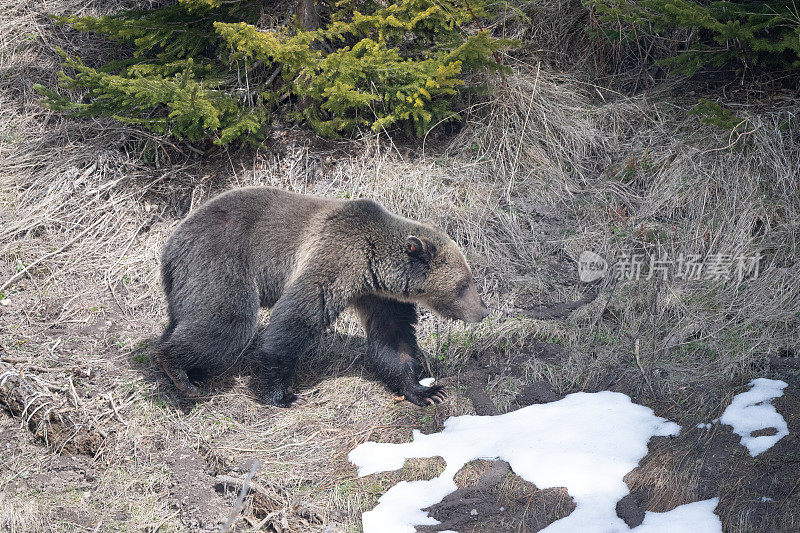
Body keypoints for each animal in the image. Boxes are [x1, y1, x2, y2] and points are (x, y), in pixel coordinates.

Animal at [153, 185, 484, 406]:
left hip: (188, 282)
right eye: (464, 283)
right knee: (228, 321)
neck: (372, 264)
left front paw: (426, 391)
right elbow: (296, 318)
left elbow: (393, 337)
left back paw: (189, 370)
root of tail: (170, 245)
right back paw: (177, 370)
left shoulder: (377, 295)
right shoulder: (334, 256)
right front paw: (282, 395)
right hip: (220, 259)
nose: (483, 311)